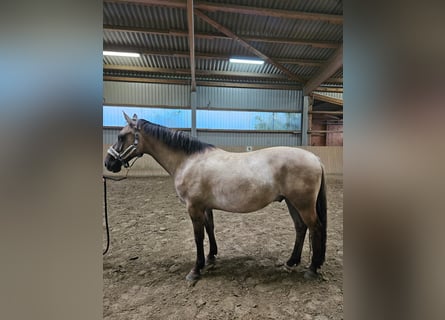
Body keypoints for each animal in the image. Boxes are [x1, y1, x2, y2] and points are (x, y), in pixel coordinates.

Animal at [104, 113, 326, 282]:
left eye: (121, 136)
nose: (108, 163)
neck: (188, 161)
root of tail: (315, 158)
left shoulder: (193, 207)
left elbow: (198, 236)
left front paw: (196, 269)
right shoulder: (205, 207)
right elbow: (210, 229)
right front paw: (211, 257)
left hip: (303, 204)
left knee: (315, 228)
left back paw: (312, 268)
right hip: (291, 203)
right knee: (300, 228)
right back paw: (291, 262)